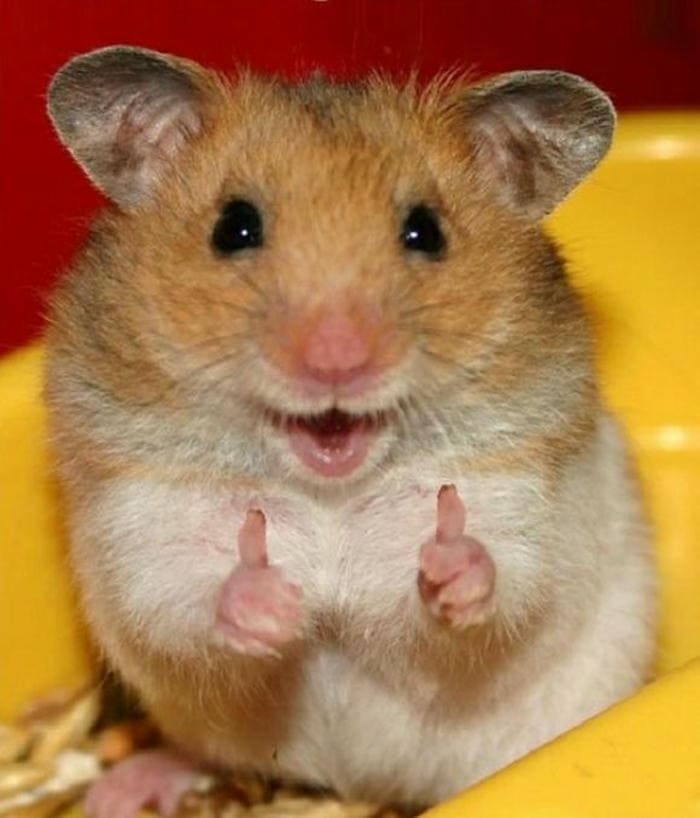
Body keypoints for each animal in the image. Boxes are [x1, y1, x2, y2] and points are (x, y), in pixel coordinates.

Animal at [44, 46, 656, 817]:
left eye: (425, 231)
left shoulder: (524, 504)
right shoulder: (145, 523)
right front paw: (273, 600)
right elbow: (182, 598)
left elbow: (504, 581)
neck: (328, 491)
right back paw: (120, 790)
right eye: (234, 227)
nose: (337, 360)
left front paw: (447, 562)